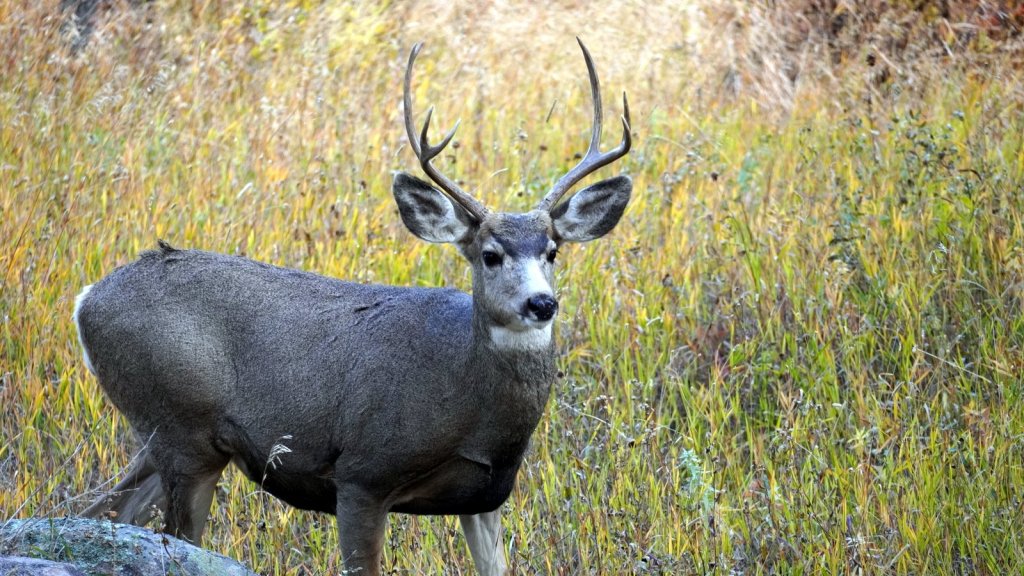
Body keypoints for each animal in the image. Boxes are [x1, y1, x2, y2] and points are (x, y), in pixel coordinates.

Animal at [74, 39, 631, 575]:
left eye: (552, 251)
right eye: (490, 255)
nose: (541, 302)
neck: (468, 401)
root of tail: (85, 302)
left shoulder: (485, 497)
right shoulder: (363, 473)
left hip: (170, 439)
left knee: (105, 511)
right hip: (182, 428)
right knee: (172, 535)